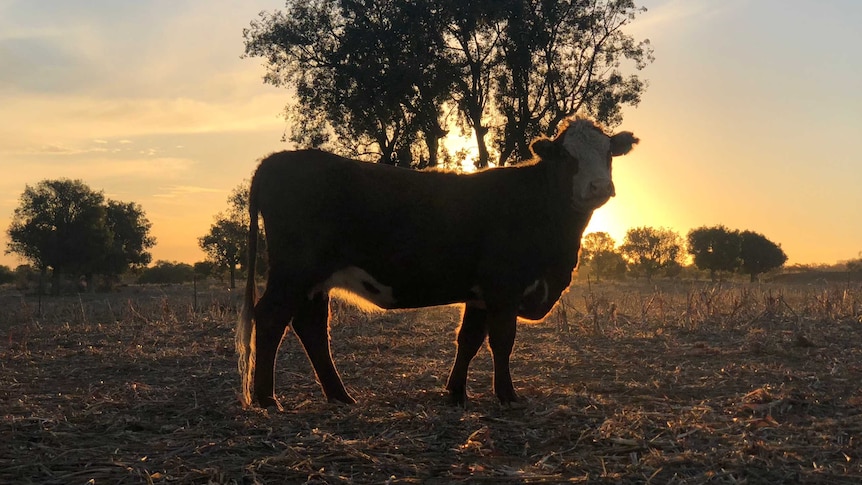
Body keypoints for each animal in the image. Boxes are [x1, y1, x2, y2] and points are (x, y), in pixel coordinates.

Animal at [240, 117, 636, 408]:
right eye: (567, 156)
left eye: (608, 153)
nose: (599, 187)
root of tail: (275, 161)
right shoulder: (503, 287)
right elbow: (502, 340)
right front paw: (507, 395)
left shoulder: (480, 294)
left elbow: (470, 339)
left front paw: (456, 393)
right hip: (294, 272)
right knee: (272, 317)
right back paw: (266, 398)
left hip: (314, 280)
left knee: (311, 327)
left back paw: (339, 396)